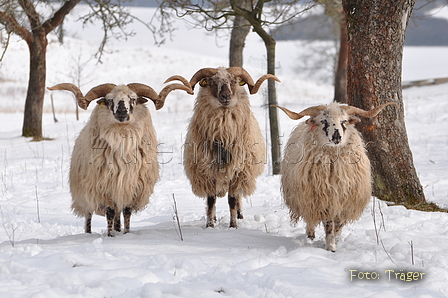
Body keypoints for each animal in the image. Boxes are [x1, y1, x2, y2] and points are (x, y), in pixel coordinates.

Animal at [48, 80, 192, 236]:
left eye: (133, 98)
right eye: (109, 99)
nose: (122, 111)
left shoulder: (131, 188)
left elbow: (127, 213)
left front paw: (126, 234)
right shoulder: (104, 188)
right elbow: (109, 213)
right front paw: (110, 235)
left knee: (118, 215)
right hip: (84, 194)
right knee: (89, 216)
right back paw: (88, 233)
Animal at [182, 66, 280, 228]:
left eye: (234, 81)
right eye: (212, 82)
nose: (226, 96)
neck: (223, 137)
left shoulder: (238, 172)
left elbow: (232, 200)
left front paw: (233, 225)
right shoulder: (207, 173)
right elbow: (211, 201)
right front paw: (210, 225)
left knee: (238, 197)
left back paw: (240, 216)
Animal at [274, 102, 398, 251]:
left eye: (344, 121)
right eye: (323, 121)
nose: (336, 137)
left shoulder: (345, 199)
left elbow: (338, 223)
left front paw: (336, 240)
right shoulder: (324, 198)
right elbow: (328, 224)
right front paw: (330, 246)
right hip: (306, 197)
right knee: (309, 217)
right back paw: (310, 234)